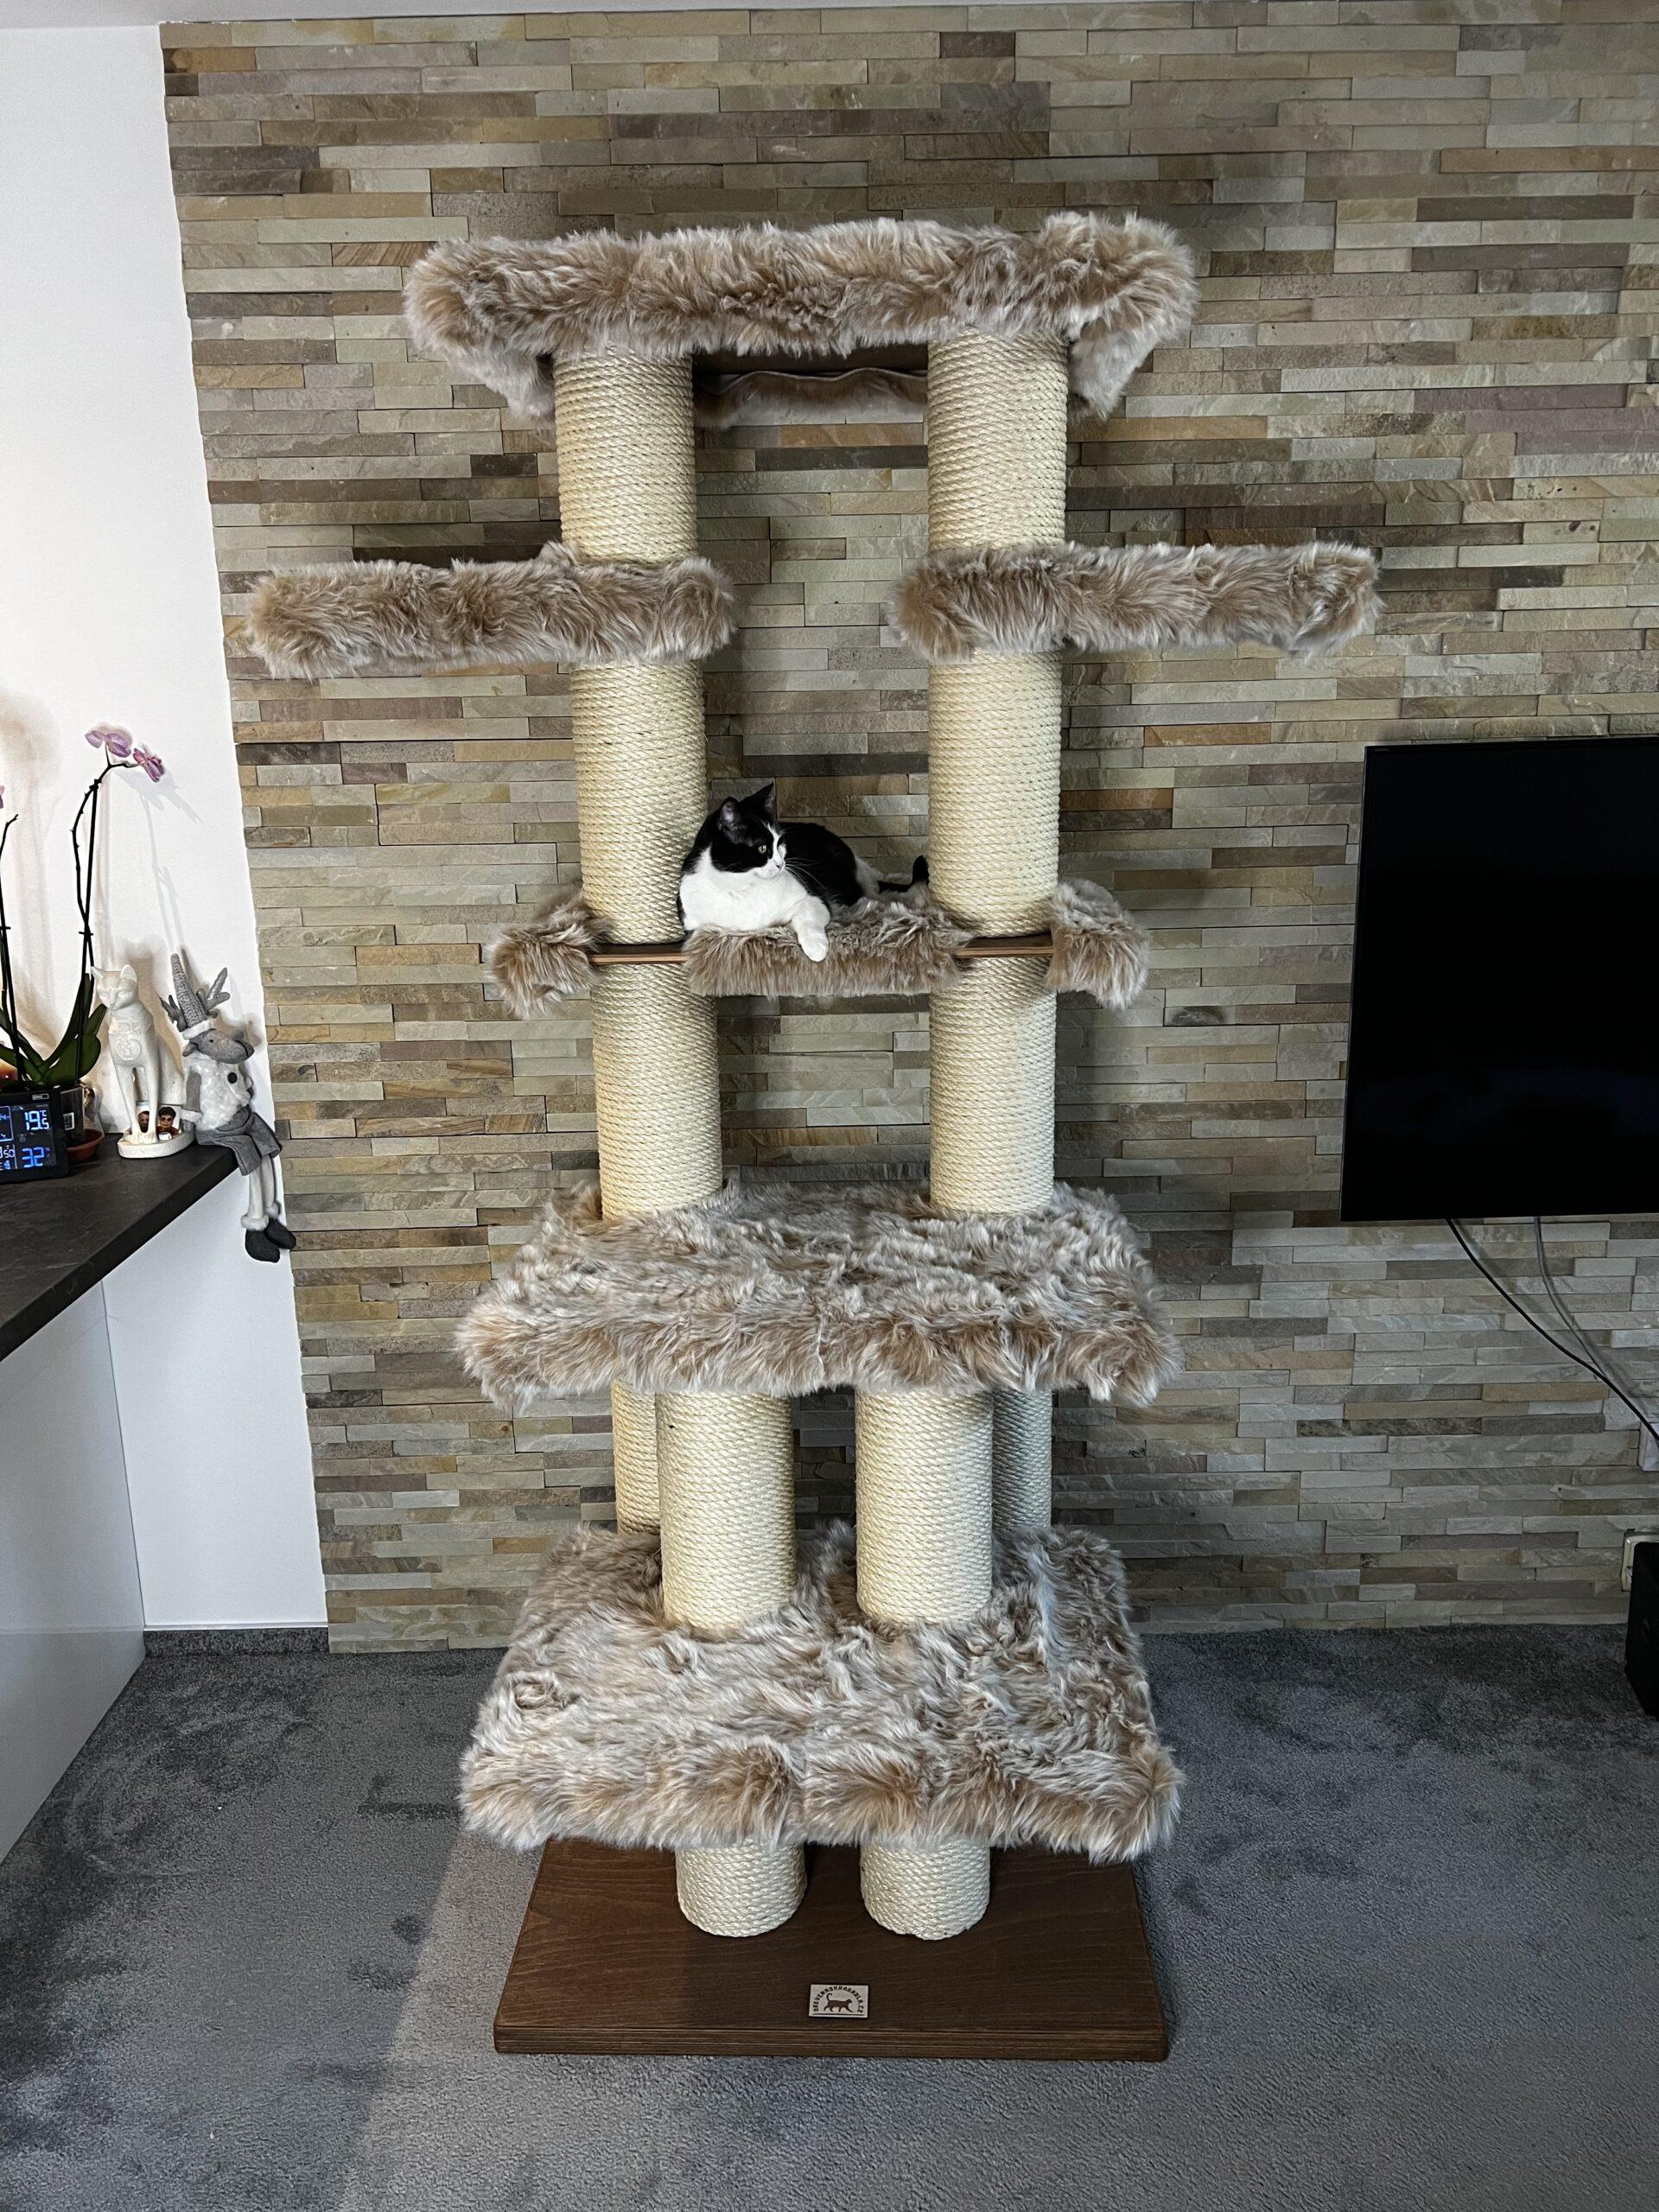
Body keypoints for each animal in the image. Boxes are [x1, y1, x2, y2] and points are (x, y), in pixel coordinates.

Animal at [678, 783, 927, 962]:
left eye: (780, 842)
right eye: (762, 848)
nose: (782, 864)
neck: (743, 888)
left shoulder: (812, 898)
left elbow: (806, 919)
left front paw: (816, 948)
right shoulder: (695, 925)